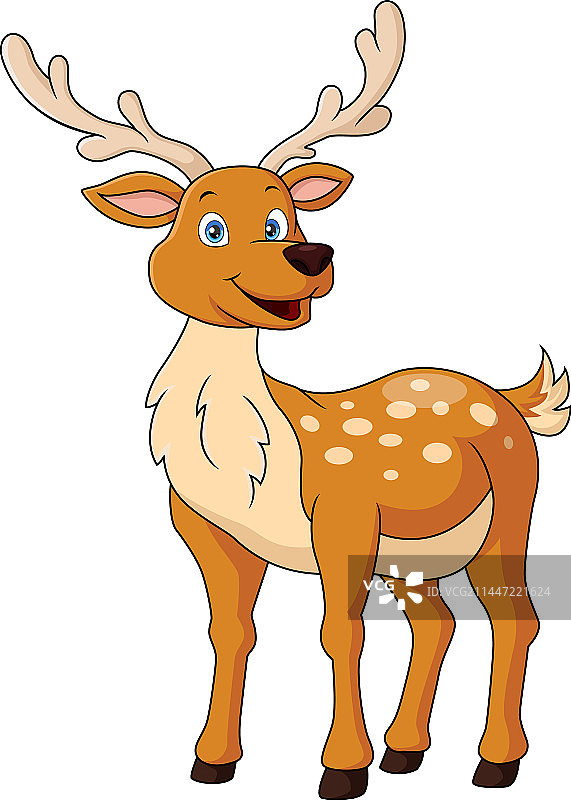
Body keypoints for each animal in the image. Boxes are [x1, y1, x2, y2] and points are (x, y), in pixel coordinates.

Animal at [2, 3, 569, 797]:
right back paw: (406, 752)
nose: (313, 255)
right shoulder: (204, 529)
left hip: (513, 505)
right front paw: (212, 760)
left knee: (513, 617)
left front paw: (340, 770)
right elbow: (230, 631)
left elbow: (340, 633)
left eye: (282, 221)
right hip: (417, 553)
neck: (250, 471)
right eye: (208, 227)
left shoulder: (344, 513)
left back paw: (495, 761)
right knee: (438, 622)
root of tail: (515, 399)